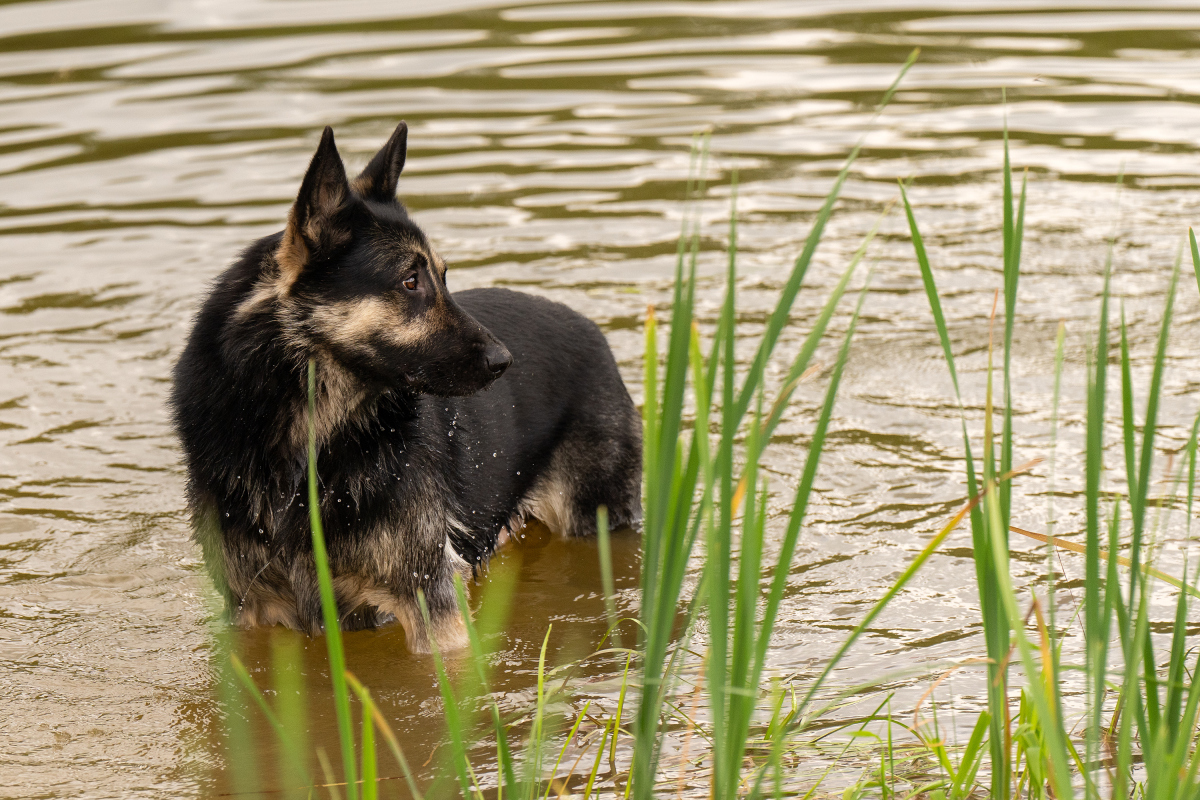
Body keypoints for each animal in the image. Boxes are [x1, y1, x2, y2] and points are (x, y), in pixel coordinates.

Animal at [172, 123, 643, 652]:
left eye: (443, 276)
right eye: (411, 281)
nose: (504, 361)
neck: (307, 447)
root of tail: (589, 326)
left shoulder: (431, 606)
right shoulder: (247, 611)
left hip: (594, 519)